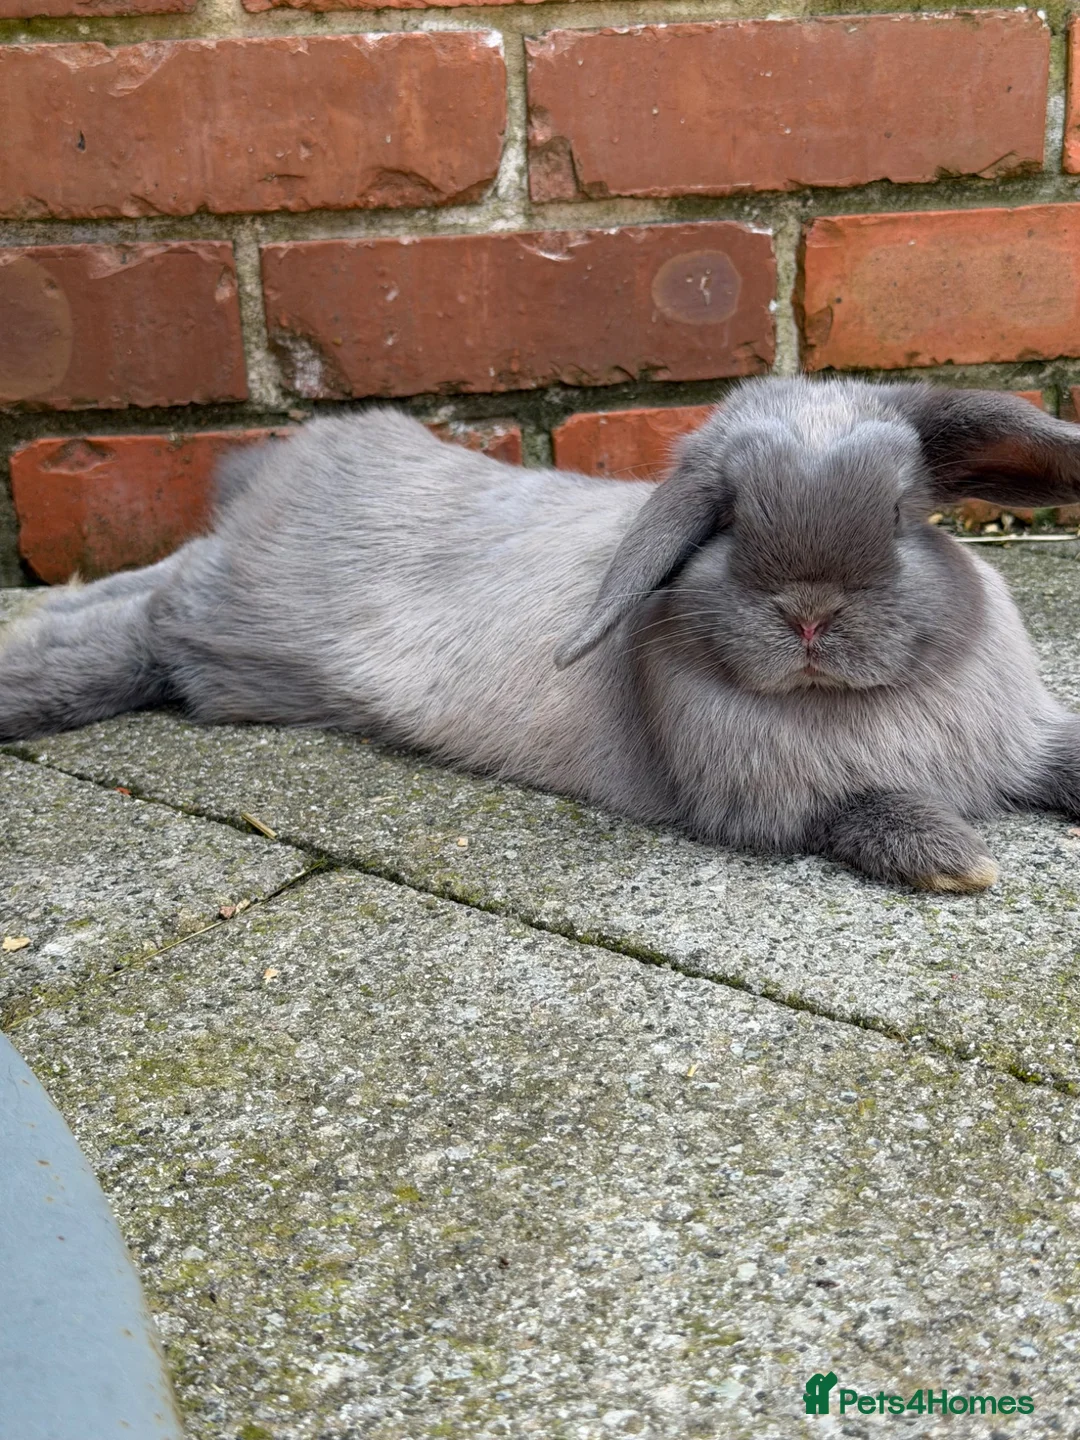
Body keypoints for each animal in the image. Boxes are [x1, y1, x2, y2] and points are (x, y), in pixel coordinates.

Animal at [3, 376, 1080, 893]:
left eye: (902, 515)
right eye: (725, 520)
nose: (809, 613)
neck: (849, 703)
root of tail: (269, 479)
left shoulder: (1025, 738)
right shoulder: (774, 811)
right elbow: (872, 811)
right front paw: (961, 861)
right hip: (226, 631)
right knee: (141, 623)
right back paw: (27, 676)